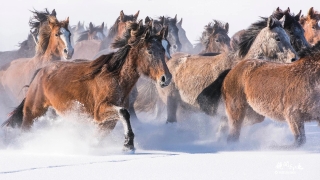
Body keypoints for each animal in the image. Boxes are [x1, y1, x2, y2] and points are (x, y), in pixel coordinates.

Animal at [1, 20, 172, 151]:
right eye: (149, 51)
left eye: (164, 49)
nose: (166, 78)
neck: (115, 77)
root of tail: (40, 72)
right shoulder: (100, 110)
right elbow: (124, 113)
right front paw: (128, 144)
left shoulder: (106, 121)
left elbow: (101, 134)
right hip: (33, 111)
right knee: (25, 127)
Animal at [134, 15, 296, 129]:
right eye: (277, 38)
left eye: (288, 37)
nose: (294, 58)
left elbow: (254, 119)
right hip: (171, 104)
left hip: (186, 108)